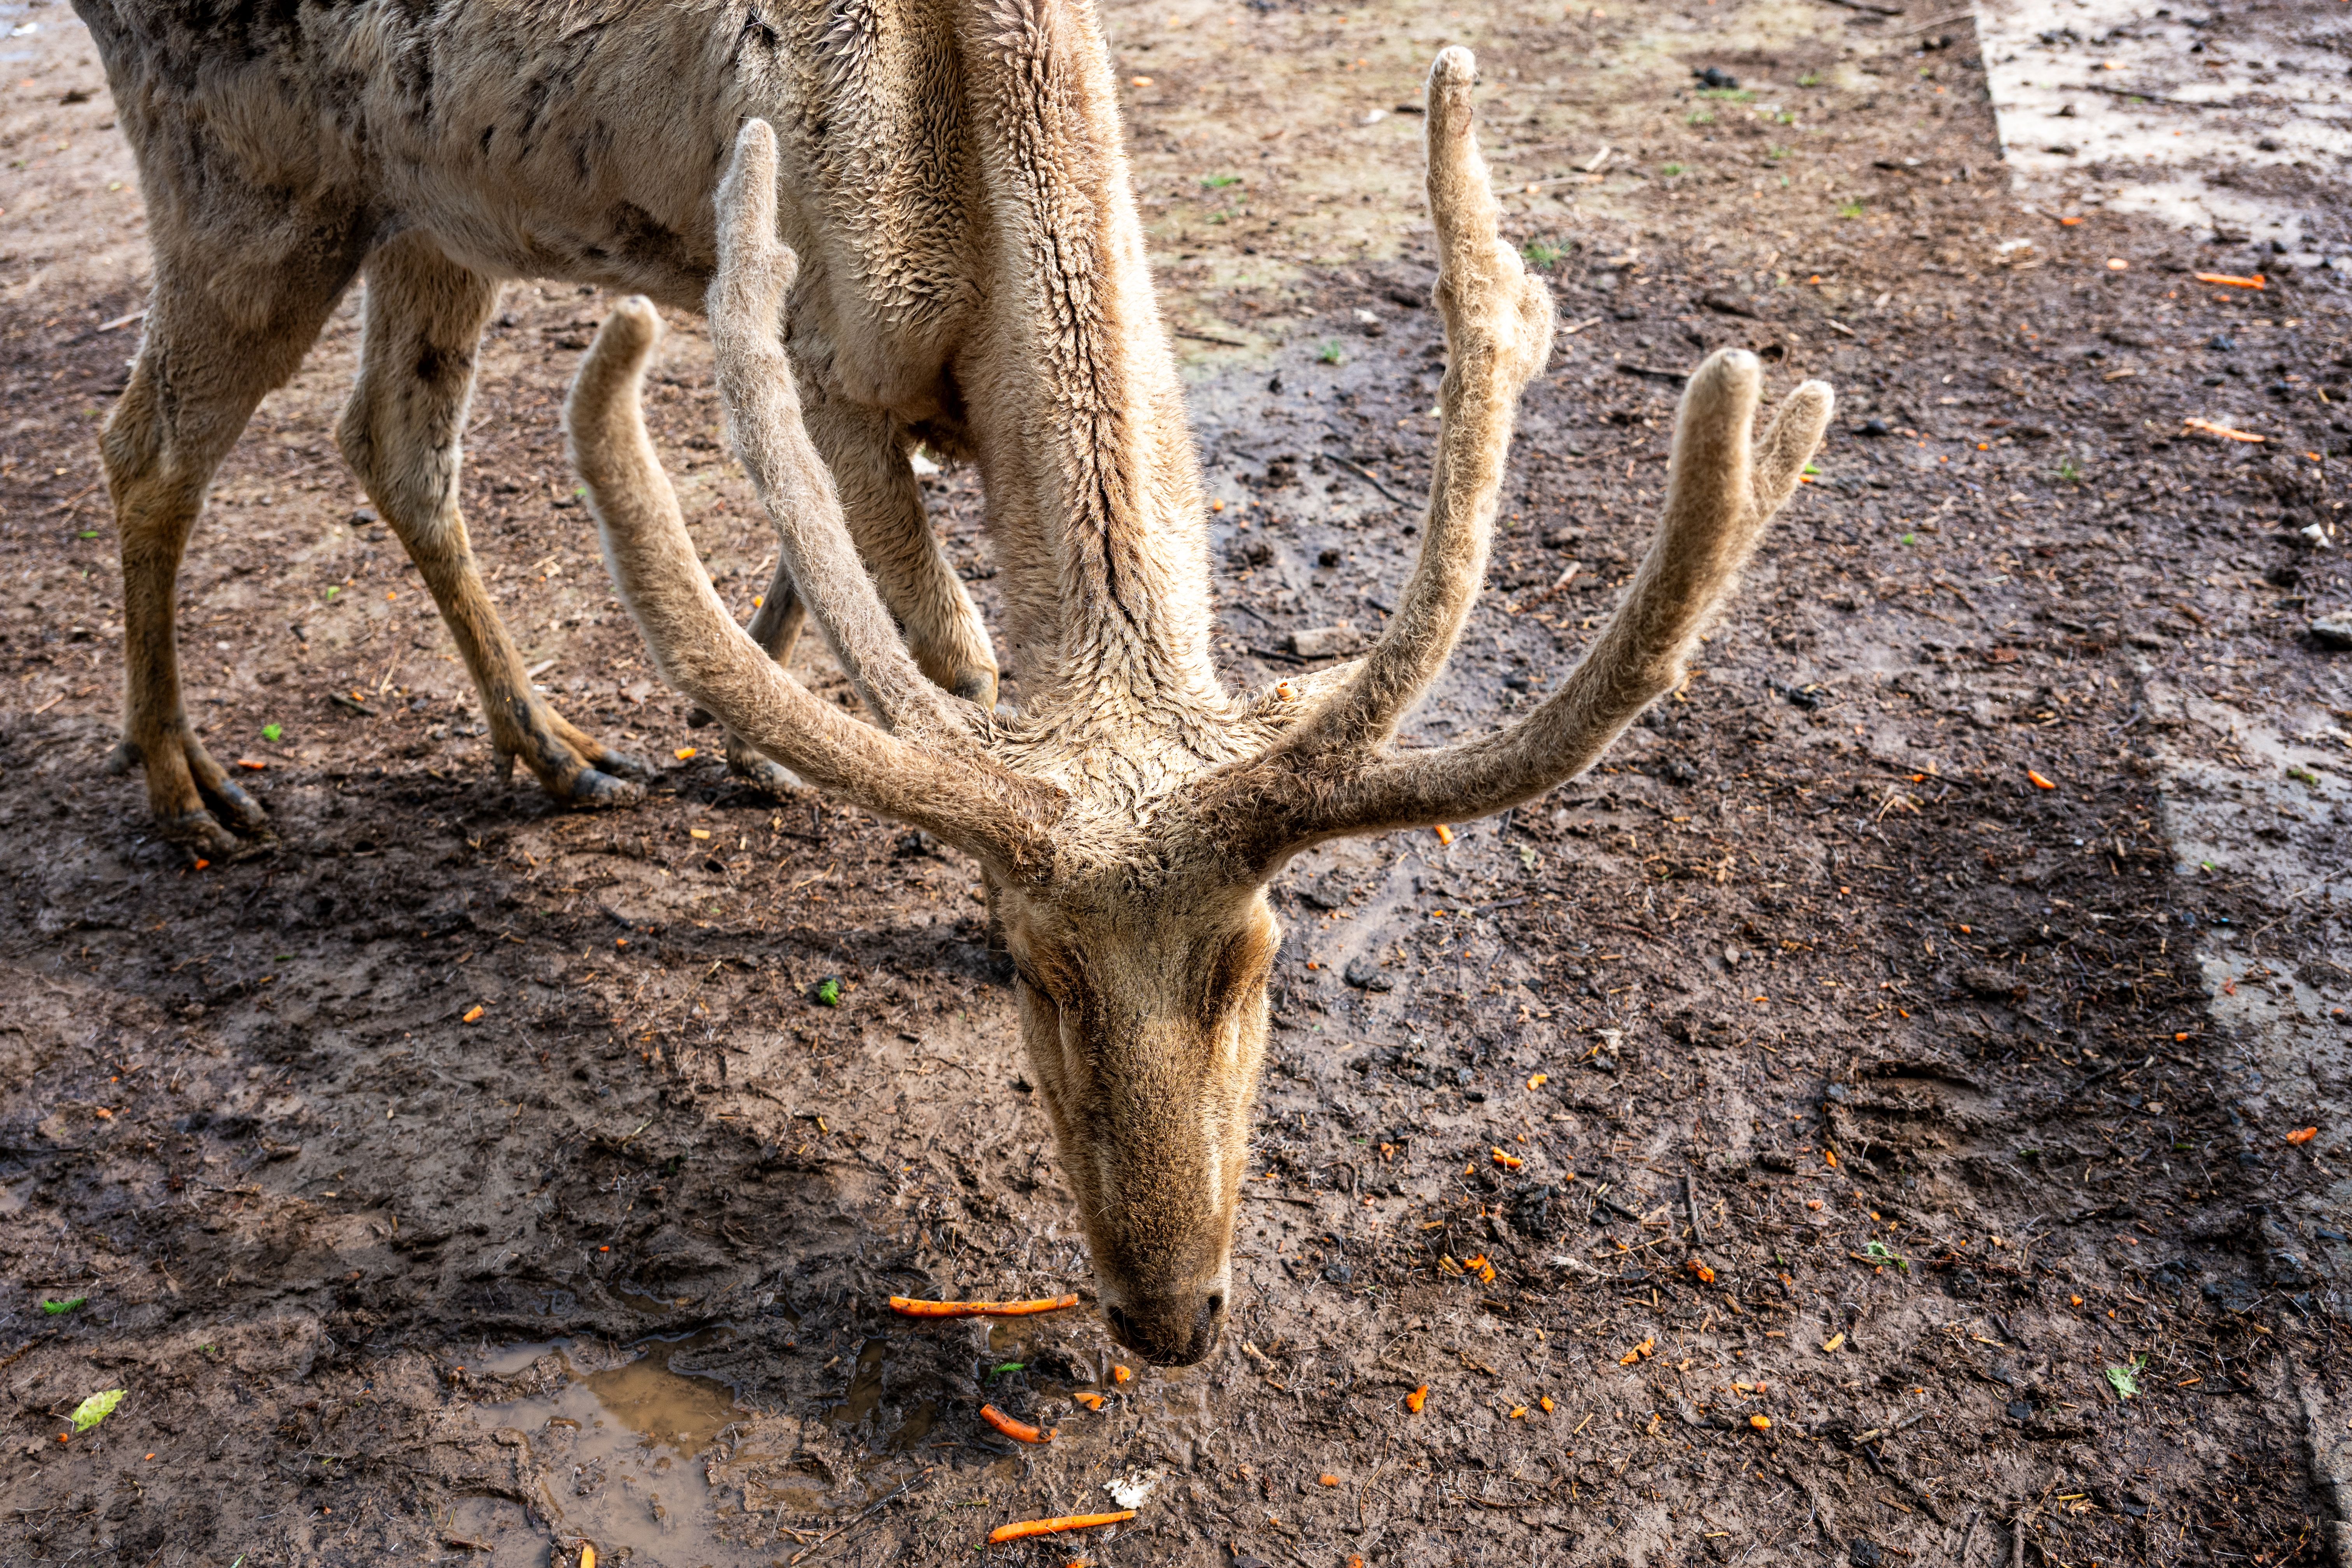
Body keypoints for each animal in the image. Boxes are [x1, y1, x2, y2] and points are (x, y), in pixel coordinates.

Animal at [562, 44, 1831, 1360]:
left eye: (1255, 960)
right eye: (1034, 971)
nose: (1171, 1318)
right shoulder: (836, 376)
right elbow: (946, 645)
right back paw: (554, 754)